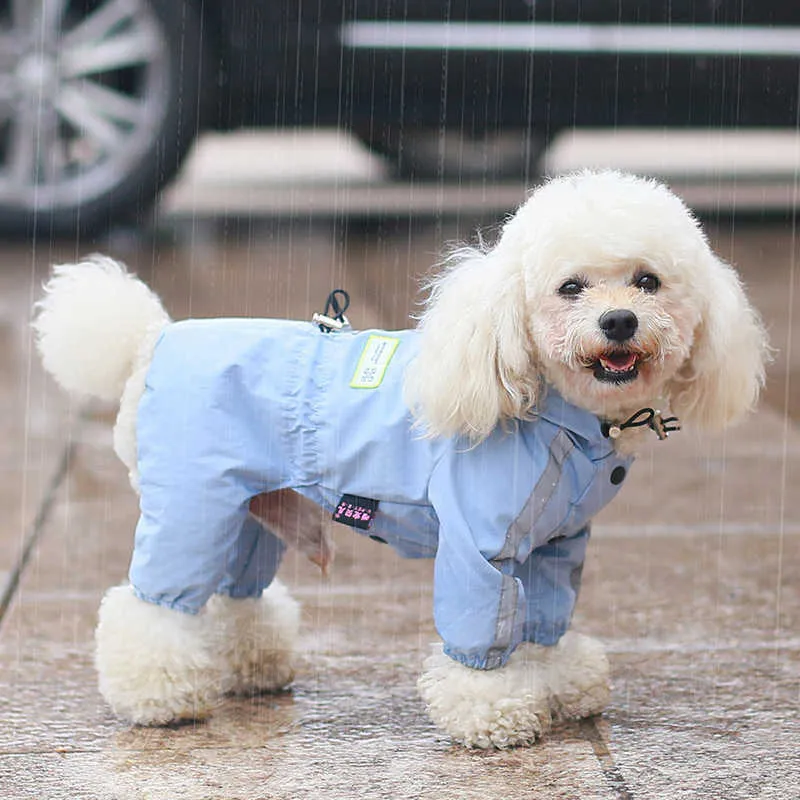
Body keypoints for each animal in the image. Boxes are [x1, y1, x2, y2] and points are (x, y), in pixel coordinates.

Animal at [32, 172, 768, 748]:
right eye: (569, 288)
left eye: (649, 281)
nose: (619, 321)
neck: (562, 417)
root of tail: (150, 339)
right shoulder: (482, 546)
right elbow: (482, 629)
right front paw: (495, 709)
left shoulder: (558, 544)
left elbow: (543, 621)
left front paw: (557, 683)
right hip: (192, 500)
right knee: (153, 605)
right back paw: (158, 697)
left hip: (248, 511)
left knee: (233, 596)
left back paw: (252, 666)